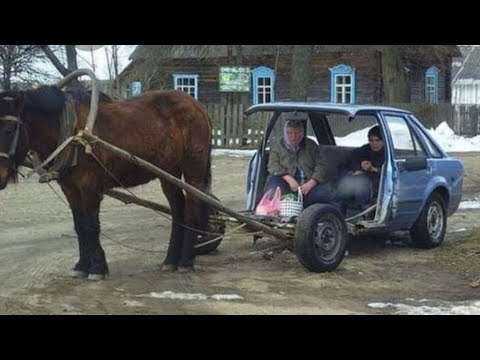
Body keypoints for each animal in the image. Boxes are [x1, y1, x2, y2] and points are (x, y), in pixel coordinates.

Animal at [0, 86, 212, 280]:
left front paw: (97, 268)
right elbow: (80, 225)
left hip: (193, 170)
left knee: (191, 210)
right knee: (178, 211)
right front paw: (82, 266)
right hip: (169, 174)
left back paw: (185, 261)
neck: (72, 133)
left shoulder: (89, 187)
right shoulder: (70, 188)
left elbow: (91, 226)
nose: (1, 175)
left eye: (9, 130)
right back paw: (170, 260)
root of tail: (198, 106)